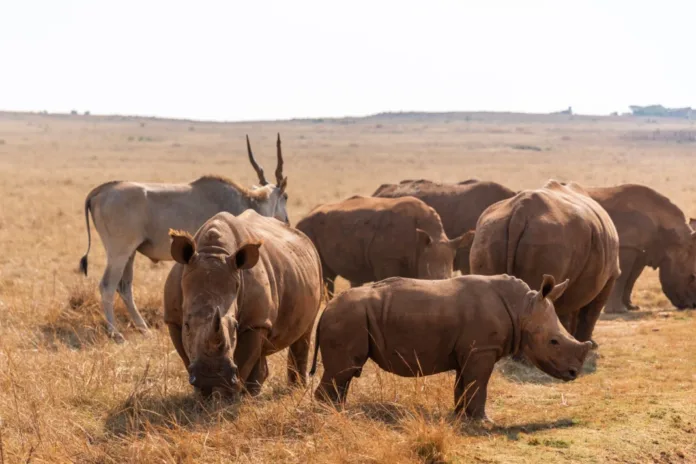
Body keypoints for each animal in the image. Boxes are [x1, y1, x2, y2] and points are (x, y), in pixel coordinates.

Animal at [79, 135, 289, 342]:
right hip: (119, 252)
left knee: (124, 287)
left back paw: (144, 329)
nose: (286, 220)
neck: (245, 202)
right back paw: (116, 333)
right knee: (107, 285)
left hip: (130, 254)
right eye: (285, 196)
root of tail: (101, 191)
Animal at [163, 210, 323, 397]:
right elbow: (185, 356)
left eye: (235, 326)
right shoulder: (173, 319)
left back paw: (292, 390)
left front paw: (229, 396)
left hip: (314, 269)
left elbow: (244, 359)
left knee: (304, 334)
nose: (211, 376)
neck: (213, 253)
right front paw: (203, 395)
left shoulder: (254, 322)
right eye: (187, 325)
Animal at [310, 274, 591, 420]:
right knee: (343, 370)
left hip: (351, 317)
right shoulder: (482, 349)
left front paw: (459, 416)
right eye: (554, 342)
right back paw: (329, 416)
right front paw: (482, 421)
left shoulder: (471, 351)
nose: (574, 373)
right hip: (348, 317)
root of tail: (325, 310)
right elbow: (479, 383)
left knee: (345, 374)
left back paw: (339, 412)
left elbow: (464, 384)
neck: (522, 308)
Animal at [470, 181, 620, 344]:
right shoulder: (611, 275)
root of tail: (519, 214)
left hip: (490, 233)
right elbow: (590, 313)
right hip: (550, 238)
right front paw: (586, 343)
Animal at [582, 184, 696, 312]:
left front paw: (632, 307)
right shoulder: (627, 246)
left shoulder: (641, 251)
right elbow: (622, 277)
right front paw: (618, 311)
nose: (692, 306)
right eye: (692, 277)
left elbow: (631, 279)